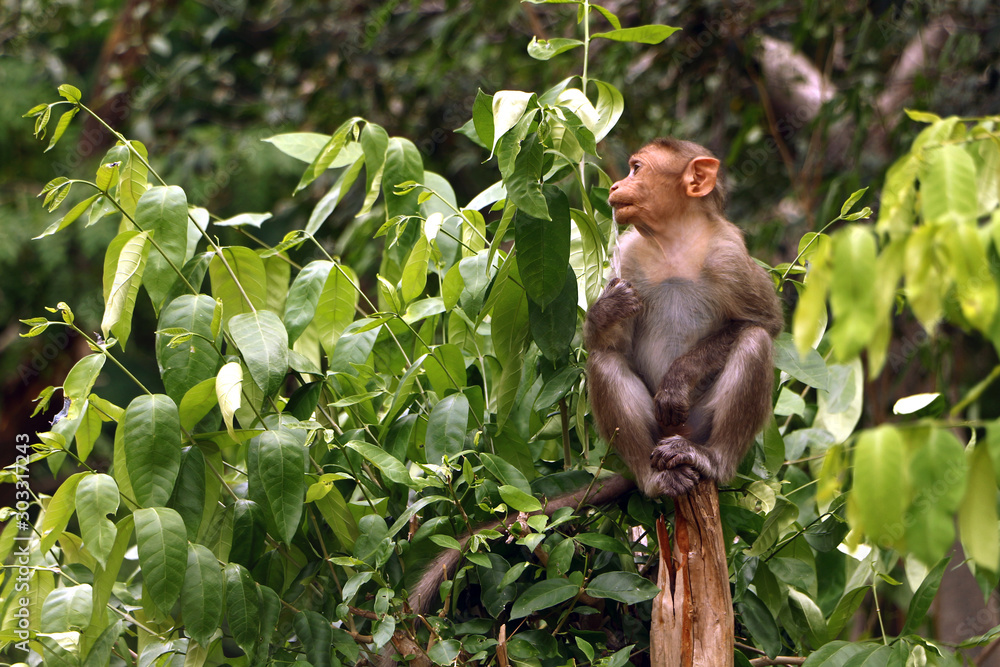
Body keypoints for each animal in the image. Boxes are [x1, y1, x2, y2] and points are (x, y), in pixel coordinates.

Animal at [584, 137, 783, 498]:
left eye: (637, 169)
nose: (616, 185)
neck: (673, 241)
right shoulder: (629, 255)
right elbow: (612, 343)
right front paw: (607, 308)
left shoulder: (729, 255)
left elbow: (764, 321)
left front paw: (678, 379)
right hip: (657, 429)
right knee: (603, 359)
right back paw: (653, 477)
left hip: (697, 420)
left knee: (755, 341)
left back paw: (712, 458)